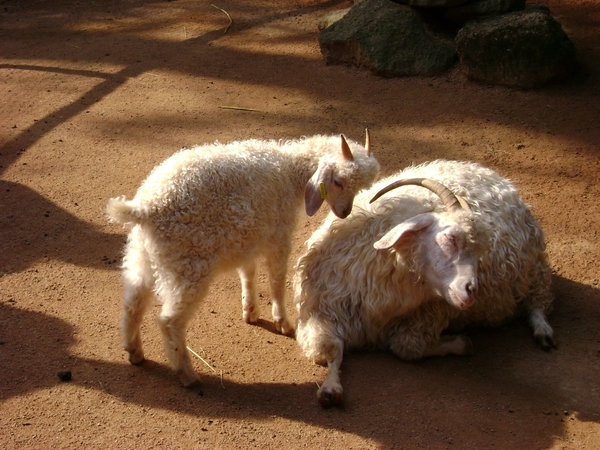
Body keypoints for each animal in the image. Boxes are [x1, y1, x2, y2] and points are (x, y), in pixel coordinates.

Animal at [106, 132, 380, 388]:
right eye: (338, 181)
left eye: (362, 187)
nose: (344, 212)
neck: (290, 173)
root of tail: (145, 209)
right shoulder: (279, 238)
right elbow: (277, 282)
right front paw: (283, 322)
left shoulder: (249, 238)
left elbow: (248, 273)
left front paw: (250, 311)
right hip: (188, 266)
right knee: (169, 321)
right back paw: (187, 375)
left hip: (143, 255)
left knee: (133, 303)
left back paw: (134, 352)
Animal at [292, 160, 556, 406]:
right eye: (450, 238)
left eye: (480, 251)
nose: (471, 290)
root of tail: (497, 178)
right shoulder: (322, 309)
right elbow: (327, 349)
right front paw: (330, 389)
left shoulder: (432, 312)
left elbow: (406, 346)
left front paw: (461, 343)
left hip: (535, 269)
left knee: (538, 302)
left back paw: (544, 333)